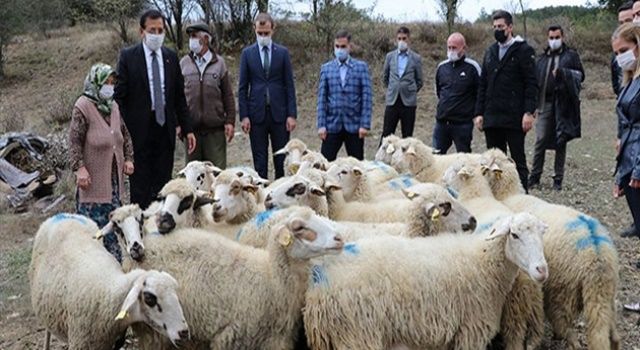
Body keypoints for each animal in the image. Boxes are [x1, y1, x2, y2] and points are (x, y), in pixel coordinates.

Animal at [119, 208, 344, 350]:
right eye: (299, 227)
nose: (339, 239)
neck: (271, 277)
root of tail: (142, 246)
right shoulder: (230, 337)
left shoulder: (277, 339)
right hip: (152, 331)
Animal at [302, 211, 548, 350]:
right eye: (514, 235)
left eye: (541, 234)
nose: (542, 270)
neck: (482, 261)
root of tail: (318, 291)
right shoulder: (471, 330)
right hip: (359, 336)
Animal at [480, 149, 620, 348]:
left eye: (482, 166)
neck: (508, 194)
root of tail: (596, 252)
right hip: (606, 293)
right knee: (613, 335)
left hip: (562, 292)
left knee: (567, 331)